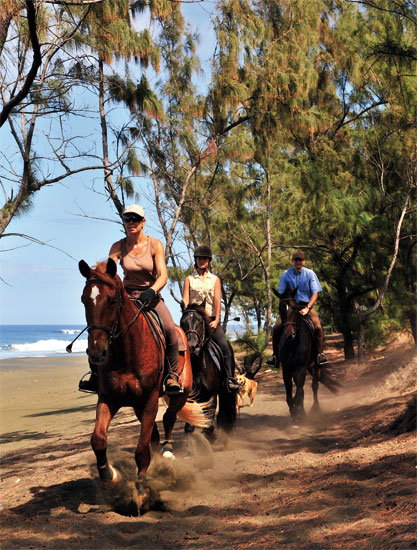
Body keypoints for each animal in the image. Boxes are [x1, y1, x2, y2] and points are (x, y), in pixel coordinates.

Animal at [77, 260, 210, 486]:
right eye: (84, 300)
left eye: (112, 301)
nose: (96, 352)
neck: (126, 353)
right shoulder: (108, 398)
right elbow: (98, 439)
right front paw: (109, 473)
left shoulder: (150, 399)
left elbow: (141, 450)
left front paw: (141, 485)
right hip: (138, 405)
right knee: (154, 433)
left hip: (179, 395)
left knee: (168, 418)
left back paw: (167, 451)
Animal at [180, 306, 236, 444]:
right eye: (182, 322)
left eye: (200, 322)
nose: (192, 347)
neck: (197, 366)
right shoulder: (189, 399)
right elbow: (189, 427)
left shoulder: (211, 396)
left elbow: (209, 427)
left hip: (224, 391)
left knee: (222, 415)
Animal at [272, 286, 338, 424]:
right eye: (280, 308)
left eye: (294, 307)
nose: (290, 334)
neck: (293, 344)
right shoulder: (287, 371)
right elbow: (291, 397)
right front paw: (295, 414)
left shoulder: (301, 369)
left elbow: (299, 394)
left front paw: (298, 417)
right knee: (301, 390)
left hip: (315, 366)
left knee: (314, 386)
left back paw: (315, 409)